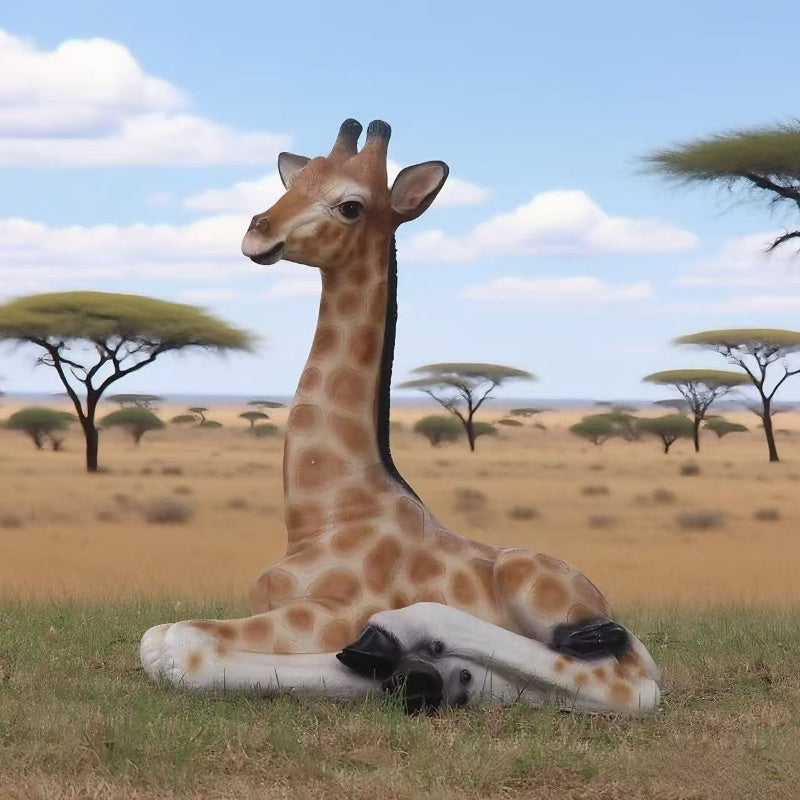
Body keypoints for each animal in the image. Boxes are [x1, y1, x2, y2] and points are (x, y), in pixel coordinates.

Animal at [141, 119, 661, 714]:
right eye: (298, 180)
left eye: (351, 205)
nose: (258, 231)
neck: (325, 513)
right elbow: (158, 640)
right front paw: (417, 675)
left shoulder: (325, 614)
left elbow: (179, 645)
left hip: (536, 585)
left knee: (625, 680)